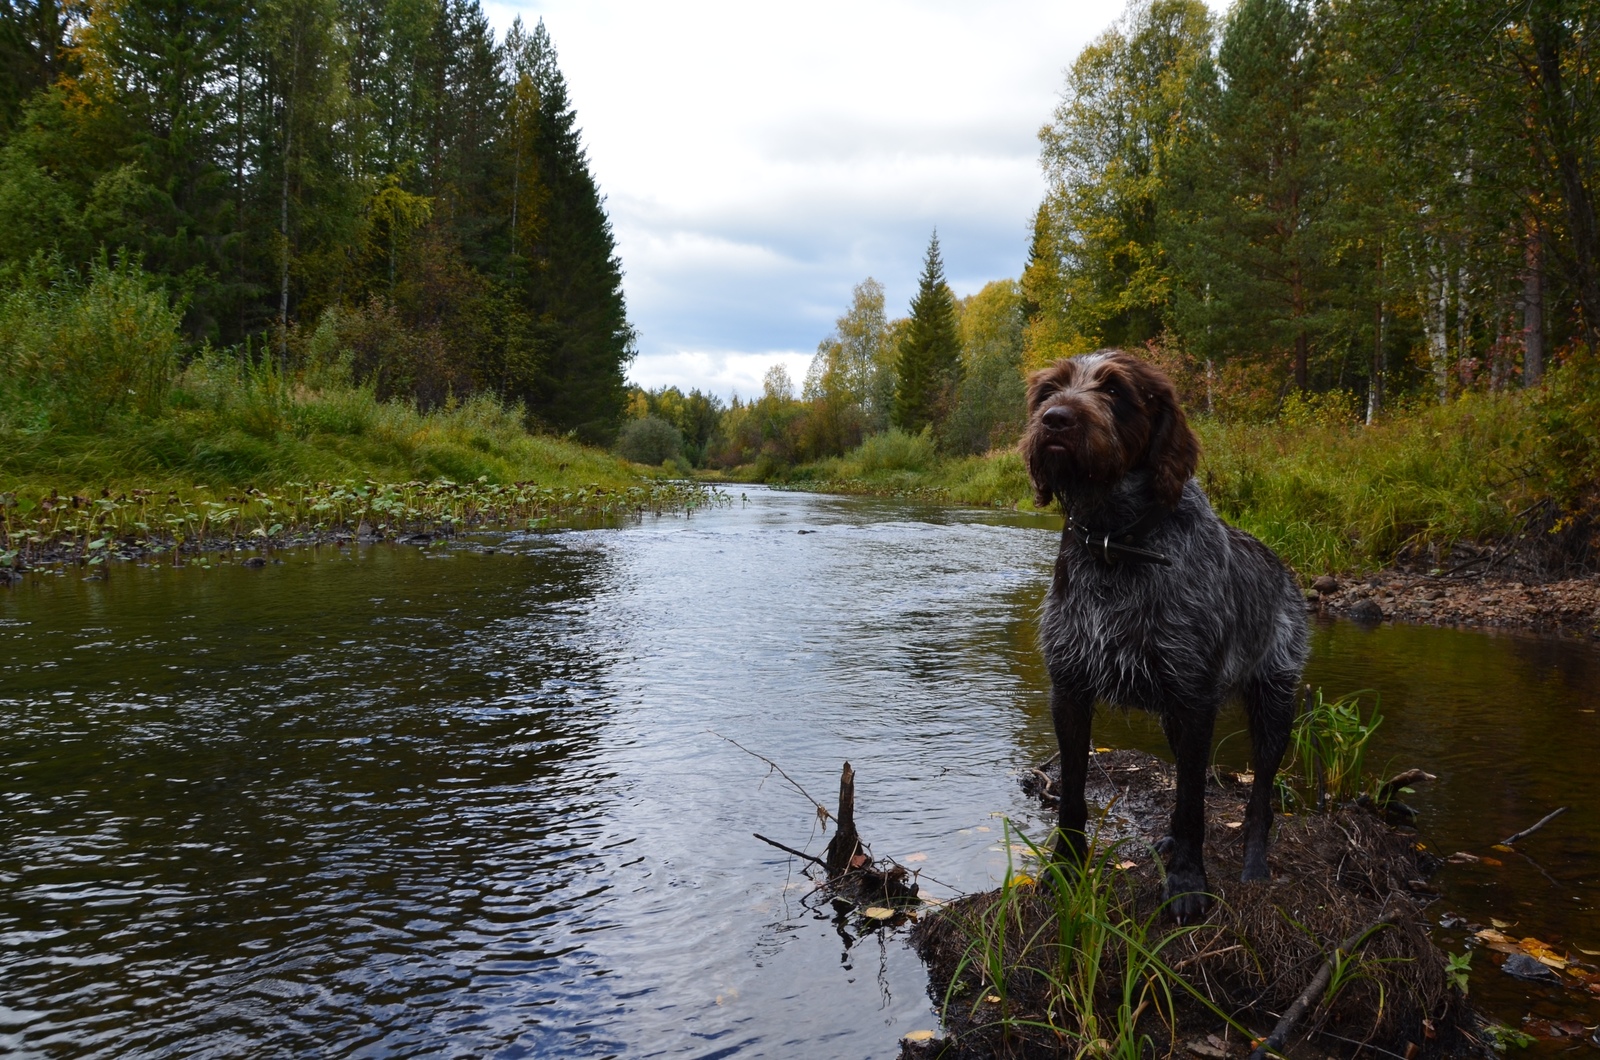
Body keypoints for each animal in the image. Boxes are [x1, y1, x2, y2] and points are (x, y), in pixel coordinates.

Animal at [1024, 350, 1299, 922]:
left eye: (1115, 390)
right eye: (1049, 390)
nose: (1055, 420)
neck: (1115, 542)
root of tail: (1281, 566)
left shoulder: (1195, 700)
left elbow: (1193, 805)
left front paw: (1188, 882)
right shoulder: (1070, 691)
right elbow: (1073, 796)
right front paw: (1064, 870)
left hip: (1274, 704)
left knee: (1260, 797)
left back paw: (1255, 863)